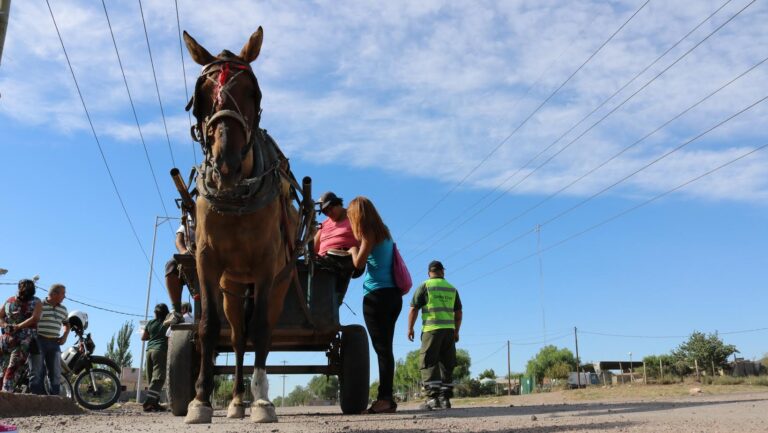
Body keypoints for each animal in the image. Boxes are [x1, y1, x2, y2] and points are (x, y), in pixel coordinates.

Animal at [182, 29, 298, 422]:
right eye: (201, 95)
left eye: (252, 91)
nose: (226, 164)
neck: (236, 199)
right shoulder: (206, 262)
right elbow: (208, 327)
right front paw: (201, 400)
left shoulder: (265, 268)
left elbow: (261, 328)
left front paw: (261, 400)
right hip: (231, 286)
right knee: (235, 337)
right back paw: (234, 401)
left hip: (280, 283)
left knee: (260, 330)